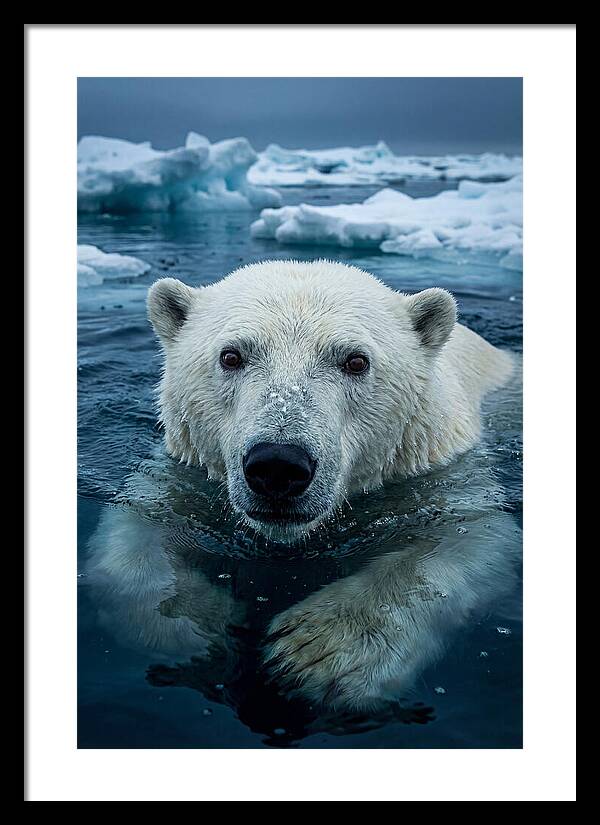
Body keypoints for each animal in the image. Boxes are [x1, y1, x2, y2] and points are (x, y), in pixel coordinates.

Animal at [84, 259, 520, 722]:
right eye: (231, 355)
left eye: (356, 361)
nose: (278, 465)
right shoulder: (181, 474)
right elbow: (136, 533)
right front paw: (196, 627)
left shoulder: (443, 473)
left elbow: (471, 539)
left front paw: (316, 653)